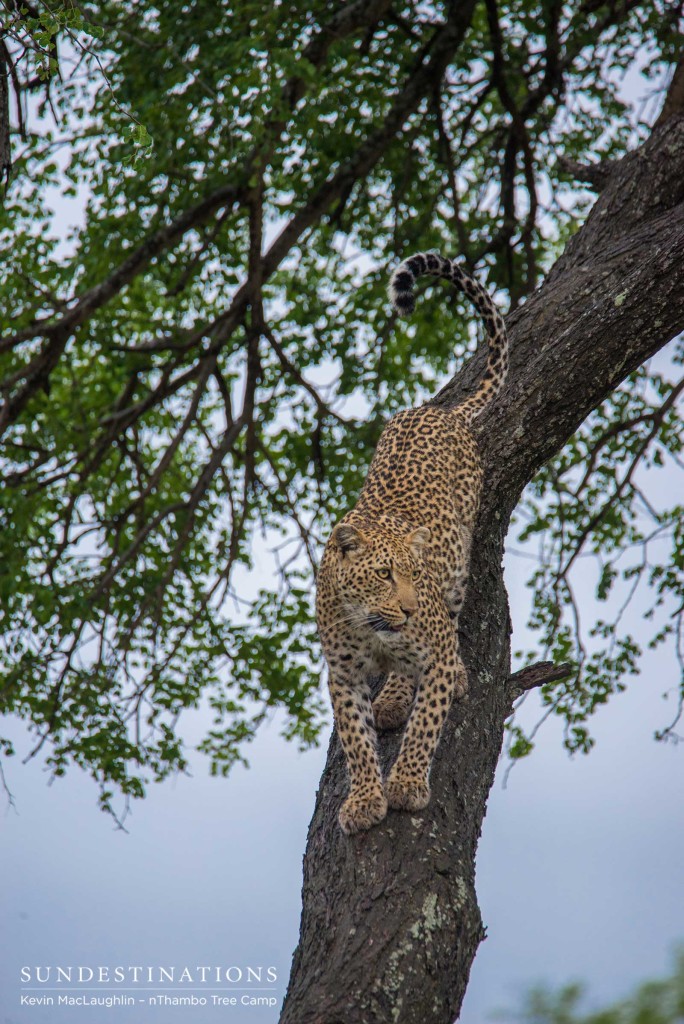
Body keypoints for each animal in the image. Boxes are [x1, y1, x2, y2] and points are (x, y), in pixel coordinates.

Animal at [315, 251, 507, 835]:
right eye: (383, 574)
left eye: (412, 575)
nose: (407, 607)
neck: (370, 624)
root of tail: (437, 410)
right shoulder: (342, 675)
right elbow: (355, 740)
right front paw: (363, 800)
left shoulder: (435, 653)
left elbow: (427, 724)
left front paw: (405, 785)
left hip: (459, 564)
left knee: (449, 620)